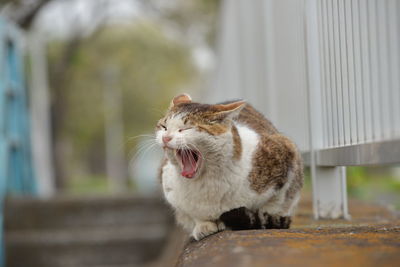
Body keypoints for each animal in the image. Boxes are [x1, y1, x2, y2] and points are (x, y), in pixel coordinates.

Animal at [156, 94, 304, 241]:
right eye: (164, 127)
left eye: (185, 129)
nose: (166, 138)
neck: (206, 181)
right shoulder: (171, 191)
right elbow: (193, 213)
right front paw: (203, 225)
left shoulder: (286, 152)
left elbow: (275, 203)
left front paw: (266, 217)